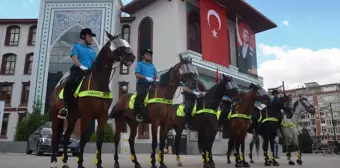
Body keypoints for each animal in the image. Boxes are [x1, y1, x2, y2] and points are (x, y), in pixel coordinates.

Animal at [49, 31, 137, 168]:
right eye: (118, 44)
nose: (131, 57)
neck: (98, 83)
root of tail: (55, 90)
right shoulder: (86, 116)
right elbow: (82, 139)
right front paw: (80, 163)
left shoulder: (102, 116)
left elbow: (99, 140)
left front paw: (99, 163)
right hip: (56, 116)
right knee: (55, 137)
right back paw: (54, 161)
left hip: (72, 117)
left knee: (67, 136)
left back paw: (65, 161)